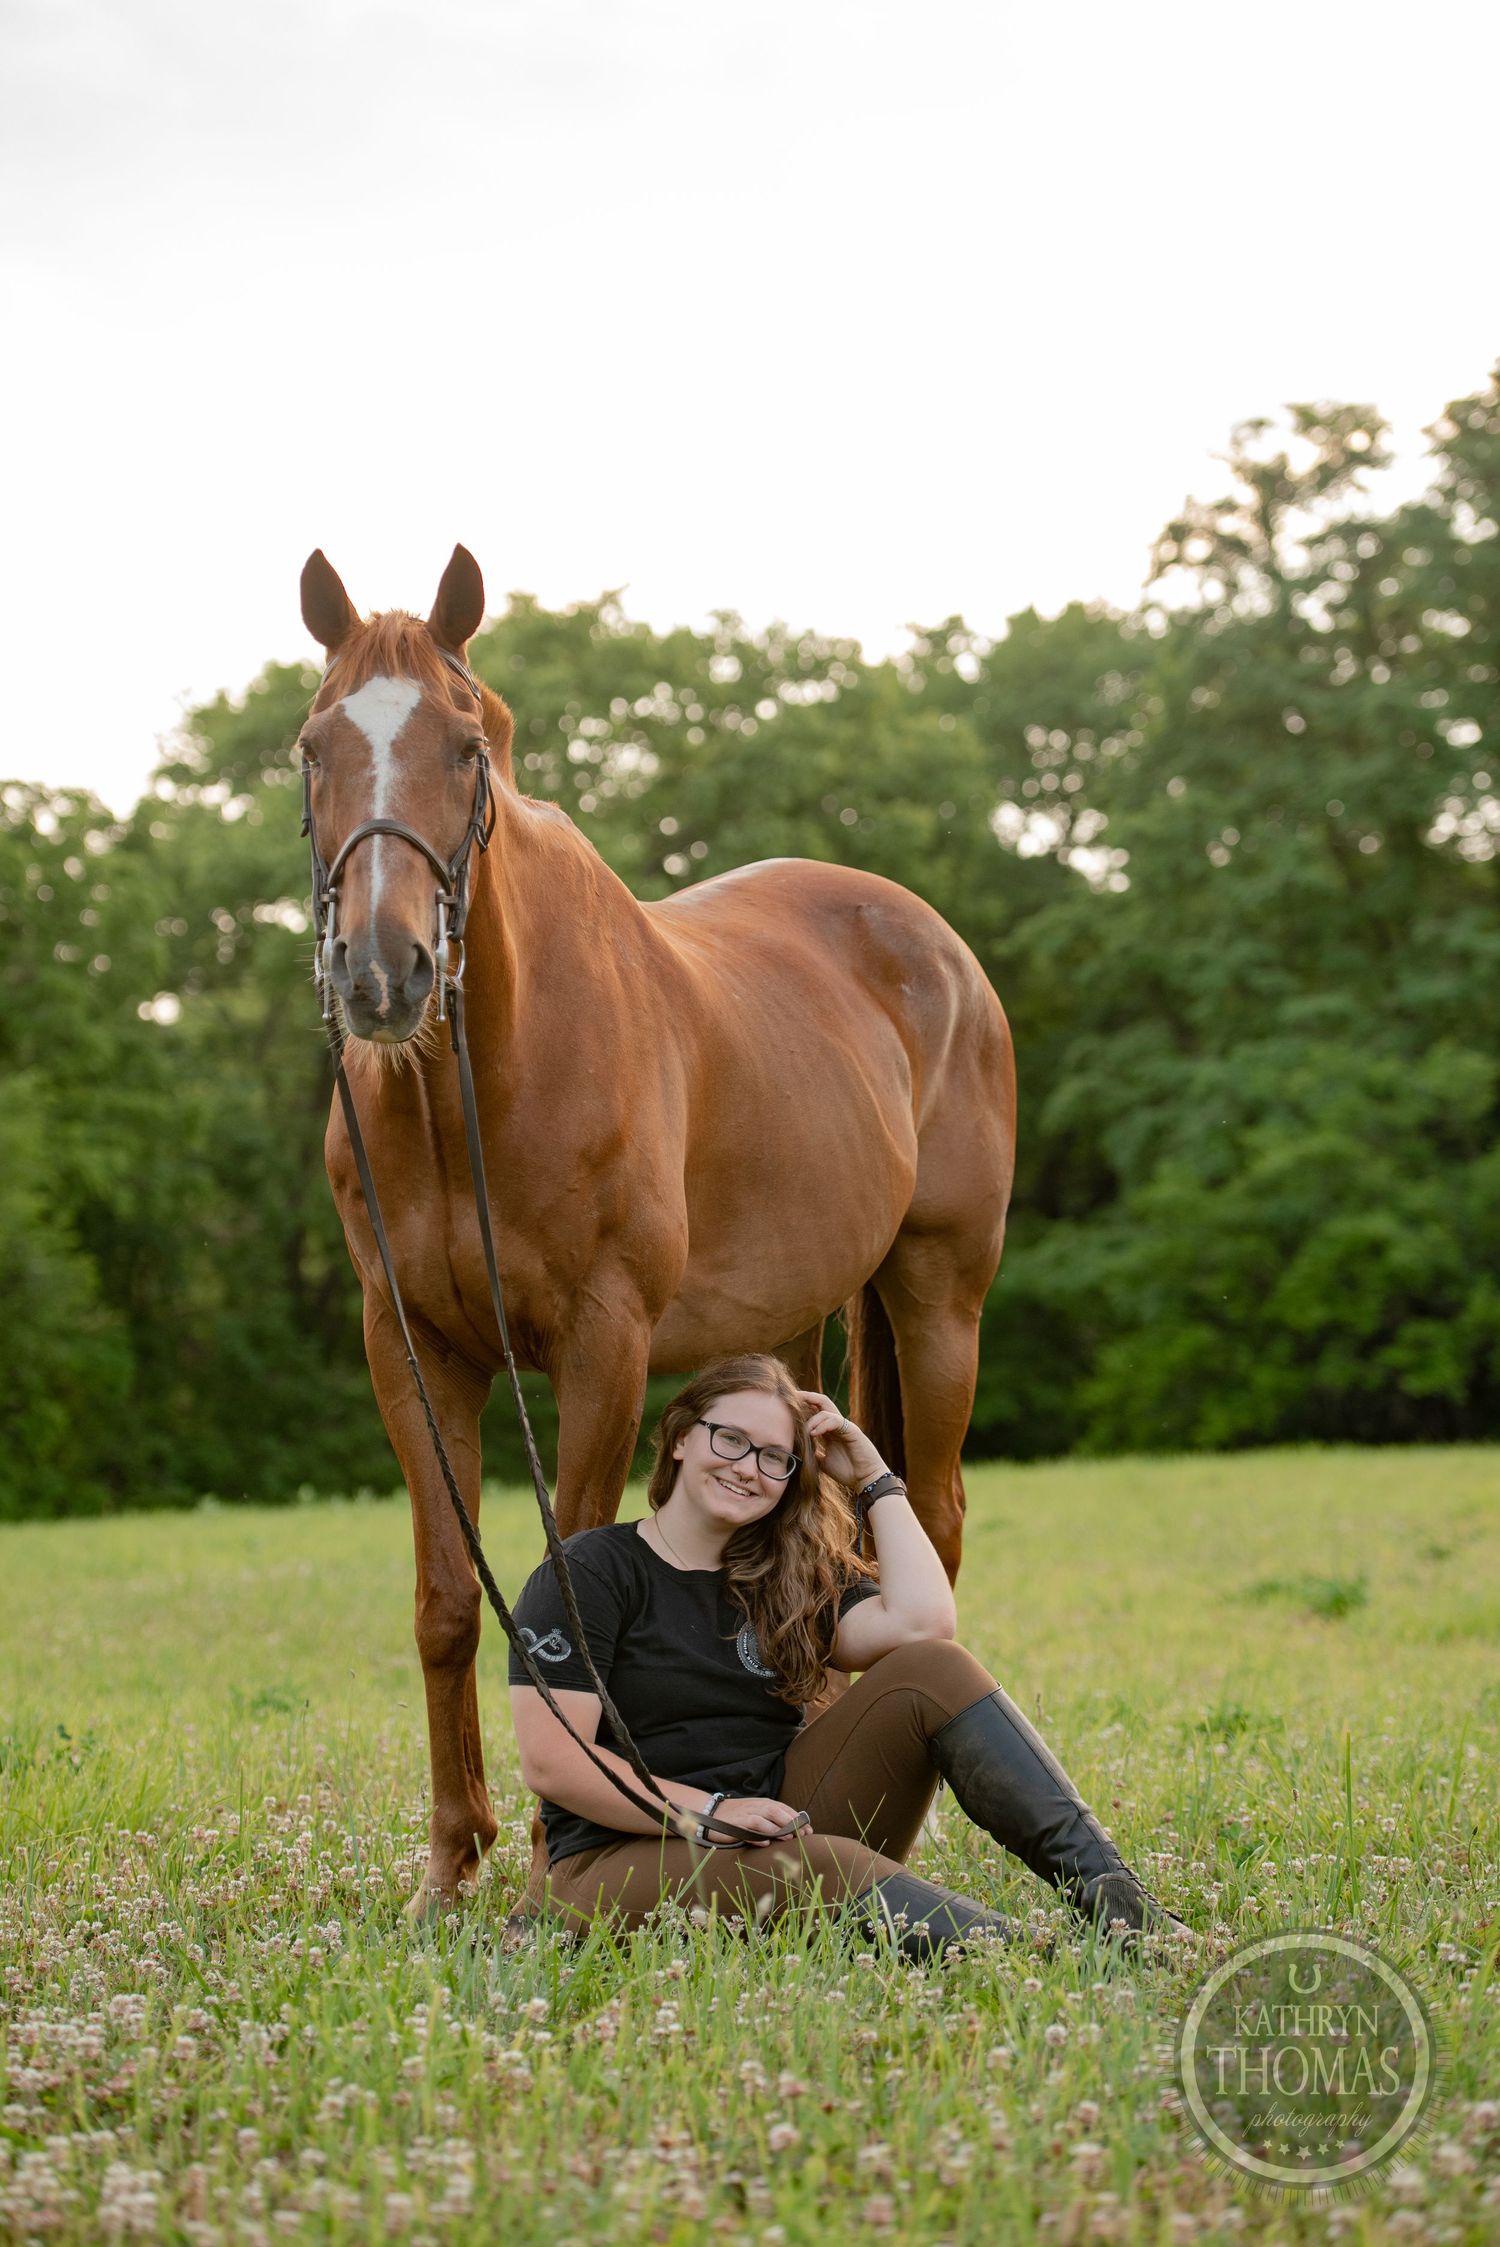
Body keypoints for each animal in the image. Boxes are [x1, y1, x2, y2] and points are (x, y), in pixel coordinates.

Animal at [298, 545, 1016, 1904]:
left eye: (466, 746)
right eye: (313, 748)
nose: (381, 972)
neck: (482, 1081)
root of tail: (935, 942)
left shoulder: (606, 1342)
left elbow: (568, 1588)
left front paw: (558, 1848)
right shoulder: (411, 1348)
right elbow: (446, 1602)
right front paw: (451, 1871)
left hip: (941, 1296)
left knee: (941, 1520)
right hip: (786, 1332)